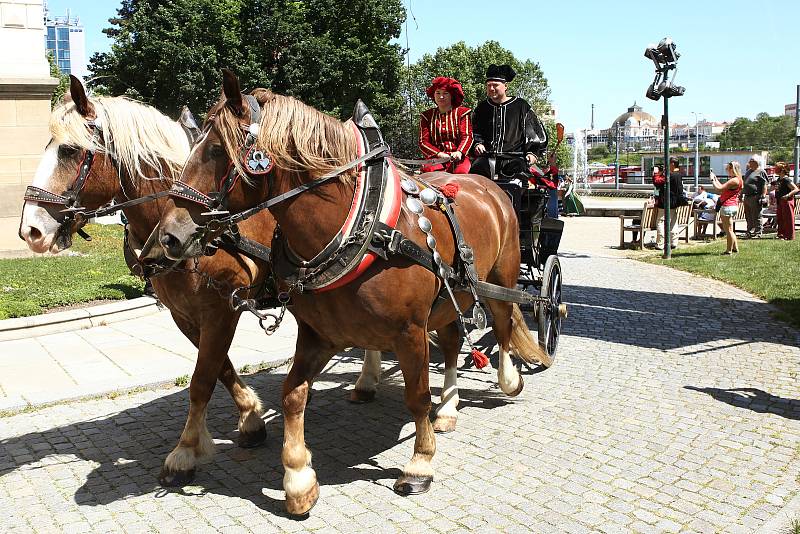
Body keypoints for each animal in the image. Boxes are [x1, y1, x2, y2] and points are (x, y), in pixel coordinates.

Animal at [16, 76, 382, 490]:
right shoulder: (185, 314)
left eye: (69, 150)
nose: (30, 230)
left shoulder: (222, 307)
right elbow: (219, 368)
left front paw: (185, 452)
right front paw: (251, 418)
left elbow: (202, 378)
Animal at [158, 69, 544, 516]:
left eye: (218, 150)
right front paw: (298, 476)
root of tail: (487, 184)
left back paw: (507, 378)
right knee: (451, 343)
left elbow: (416, 397)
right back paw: (447, 407)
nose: (169, 236)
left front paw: (419, 463)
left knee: (502, 324)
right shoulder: (319, 333)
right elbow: (292, 395)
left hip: (501, 278)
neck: (359, 226)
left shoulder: (410, 332)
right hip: (451, 299)